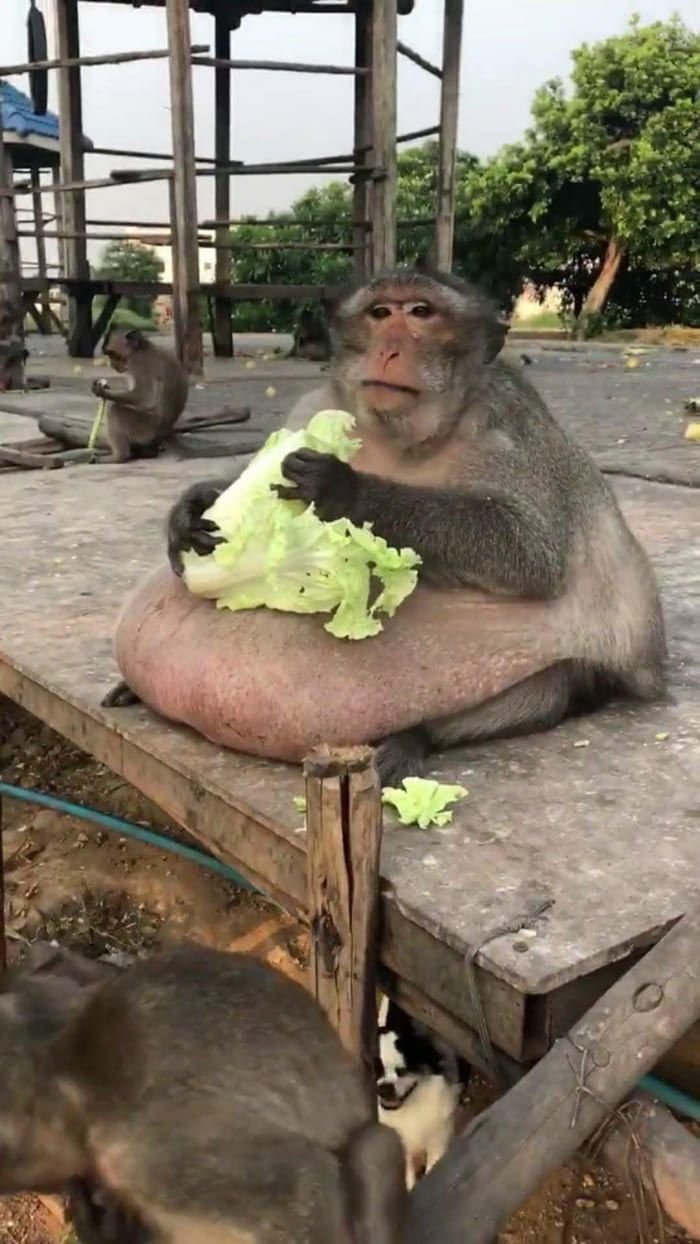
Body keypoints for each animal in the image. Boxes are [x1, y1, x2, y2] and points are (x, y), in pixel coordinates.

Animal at [91, 325, 188, 467]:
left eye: (112, 354)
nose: (112, 365)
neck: (142, 347)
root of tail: (166, 430)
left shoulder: (137, 363)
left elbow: (144, 397)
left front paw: (103, 392)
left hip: (147, 427)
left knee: (115, 410)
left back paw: (120, 456)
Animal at [103, 268, 666, 781]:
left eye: (420, 312)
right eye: (380, 313)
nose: (390, 350)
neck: (405, 438)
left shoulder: (510, 423)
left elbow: (530, 554)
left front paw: (344, 490)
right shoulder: (316, 405)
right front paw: (196, 505)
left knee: (552, 685)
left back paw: (412, 736)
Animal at [375, 995, 467, 1189]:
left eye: (403, 1070)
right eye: (375, 1070)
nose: (384, 1087)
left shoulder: (438, 1142)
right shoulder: (404, 1147)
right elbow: (409, 1180)